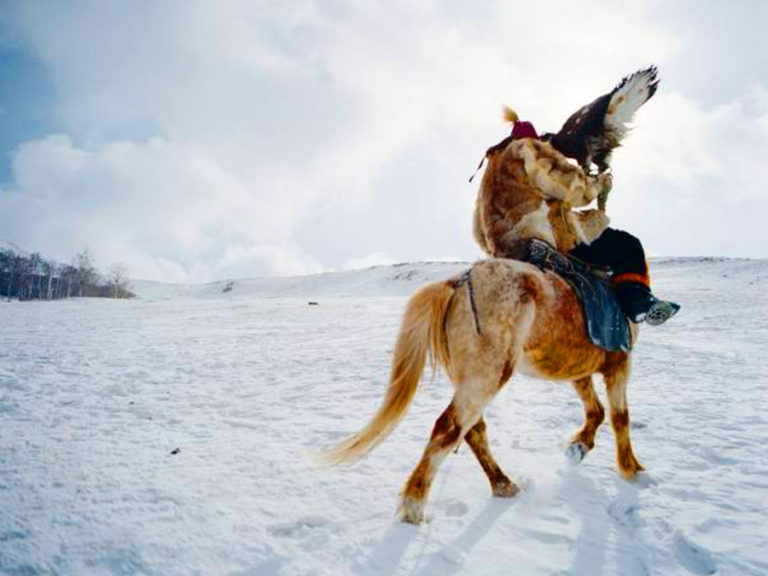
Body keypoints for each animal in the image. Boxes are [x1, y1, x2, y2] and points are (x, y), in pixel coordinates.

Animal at [319, 257, 642, 524]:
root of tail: (457, 283)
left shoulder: (578, 368)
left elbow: (596, 409)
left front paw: (580, 446)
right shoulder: (620, 364)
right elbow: (620, 417)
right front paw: (631, 469)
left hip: (471, 377)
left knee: (471, 429)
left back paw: (503, 484)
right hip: (488, 375)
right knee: (449, 427)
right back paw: (413, 507)